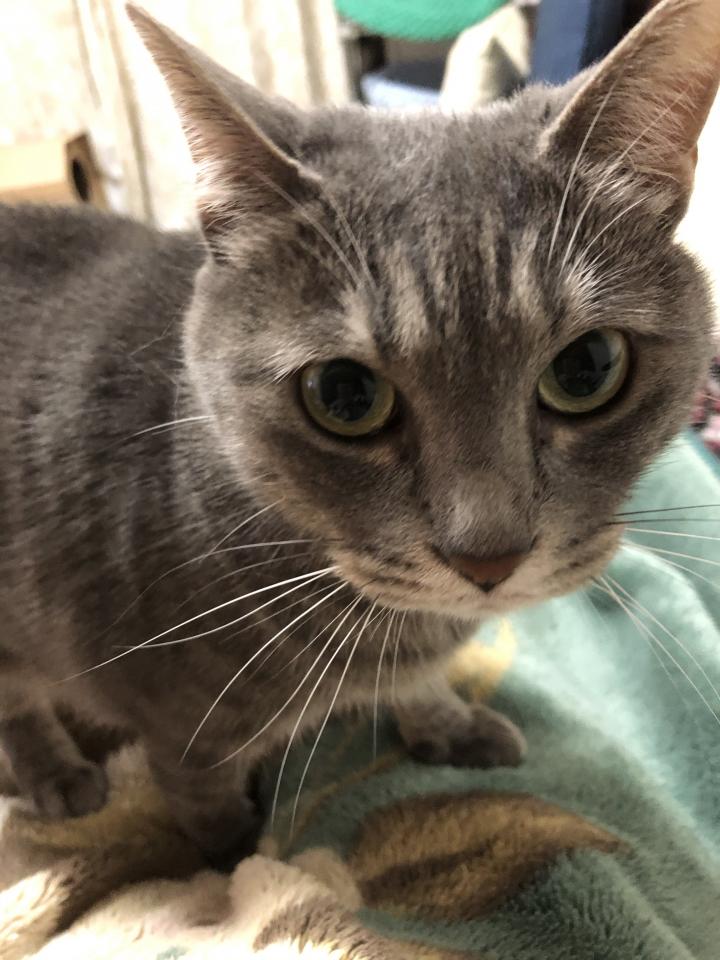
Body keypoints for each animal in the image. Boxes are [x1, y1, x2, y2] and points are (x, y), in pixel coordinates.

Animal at [0, 0, 718, 861]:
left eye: (587, 369)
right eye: (344, 396)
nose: (489, 559)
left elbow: (419, 685)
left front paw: (445, 719)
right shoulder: (182, 731)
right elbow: (207, 807)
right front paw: (237, 859)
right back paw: (55, 774)